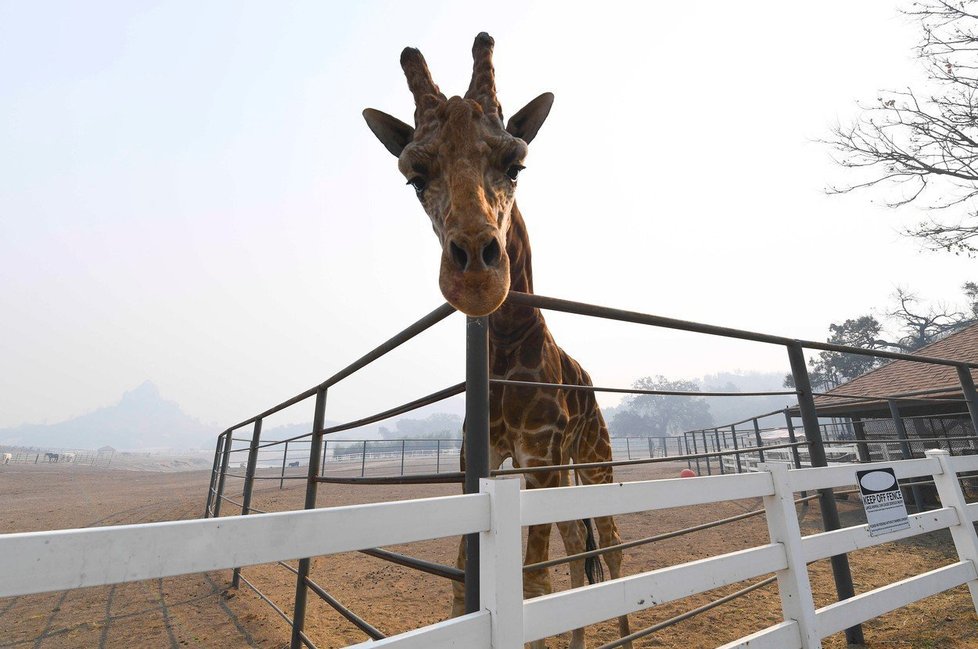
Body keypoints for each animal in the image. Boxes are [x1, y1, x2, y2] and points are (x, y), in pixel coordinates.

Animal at [362, 31, 628, 648]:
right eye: (414, 175)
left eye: (516, 164)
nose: (477, 276)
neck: (505, 346)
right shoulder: (478, 455)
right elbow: (465, 580)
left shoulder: (540, 453)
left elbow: (536, 586)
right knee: (580, 545)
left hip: (594, 455)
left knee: (610, 543)